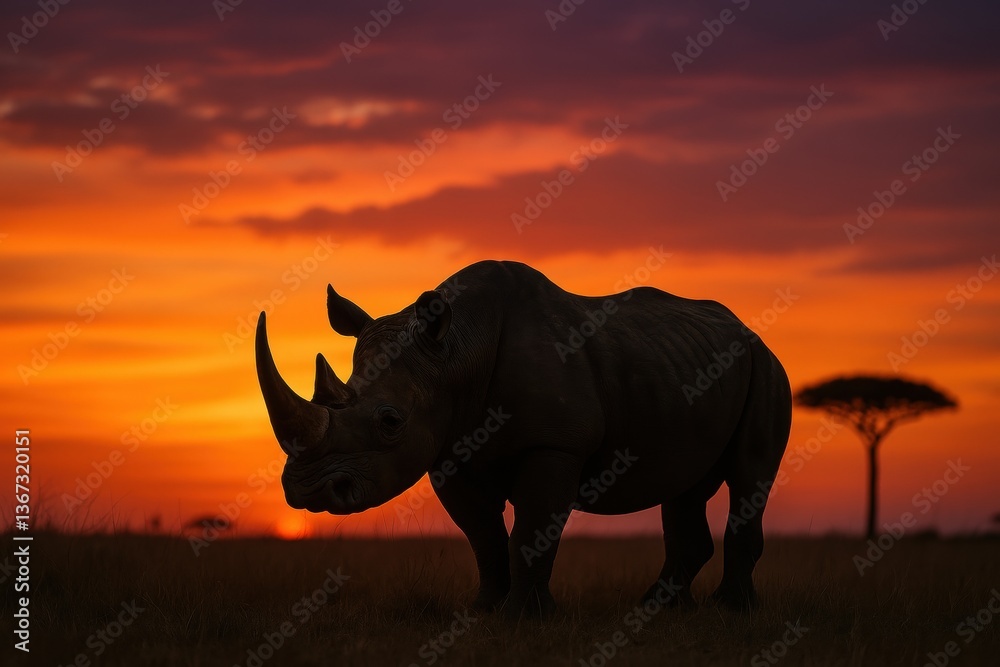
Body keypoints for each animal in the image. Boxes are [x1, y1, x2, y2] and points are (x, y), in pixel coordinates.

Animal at [256, 260, 791, 617]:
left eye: (390, 421)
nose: (307, 491)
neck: (454, 354)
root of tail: (747, 330)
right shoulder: (451, 453)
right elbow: (484, 536)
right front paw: (483, 611)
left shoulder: (554, 445)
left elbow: (532, 532)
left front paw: (525, 618)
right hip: (683, 368)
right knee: (684, 488)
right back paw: (659, 610)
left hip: (765, 368)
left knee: (749, 477)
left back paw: (730, 611)